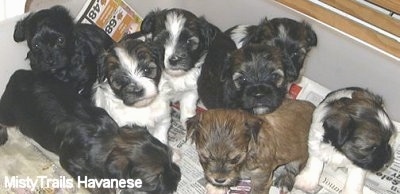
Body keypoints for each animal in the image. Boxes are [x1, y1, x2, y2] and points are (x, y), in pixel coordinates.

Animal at [0, 70, 180, 194]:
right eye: (154, 178)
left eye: (170, 156)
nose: (178, 177)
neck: (105, 139)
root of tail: (18, 74)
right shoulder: (70, 161)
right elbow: (93, 180)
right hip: (9, 111)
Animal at [187, 99, 316, 193]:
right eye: (204, 156)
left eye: (236, 158)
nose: (219, 180)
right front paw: (217, 188)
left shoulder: (261, 177)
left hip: (300, 157)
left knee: (292, 169)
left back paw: (285, 182)